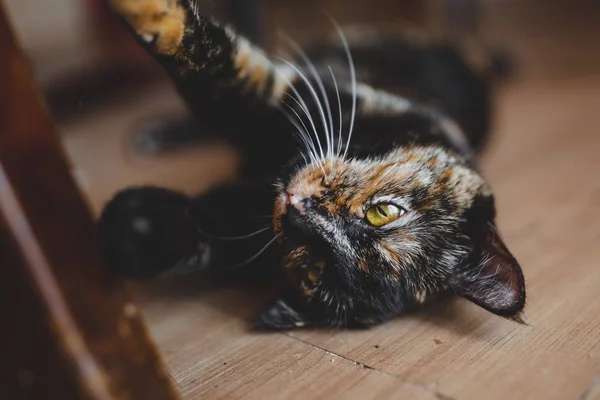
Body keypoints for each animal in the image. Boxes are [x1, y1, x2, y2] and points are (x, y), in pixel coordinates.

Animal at [101, 0, 528, 330]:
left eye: (315, 269)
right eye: (384, 212)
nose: (297, 210)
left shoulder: (245, 220)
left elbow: (203, 231)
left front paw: (131, 229)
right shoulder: (290, 93)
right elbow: (207, 58)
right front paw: (149, 12)